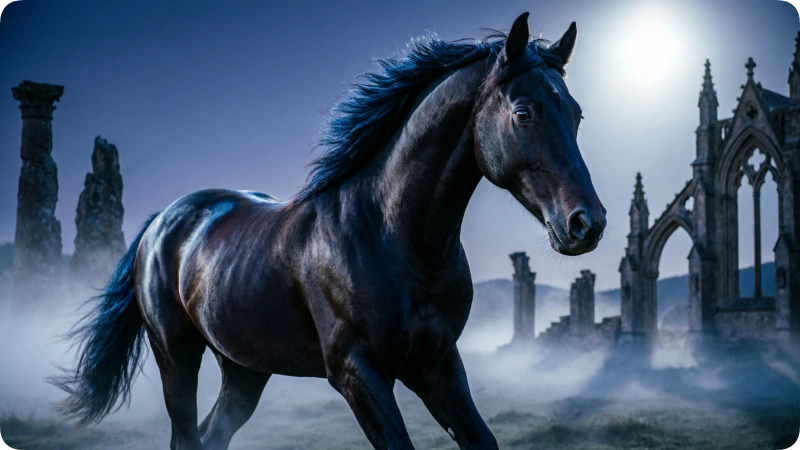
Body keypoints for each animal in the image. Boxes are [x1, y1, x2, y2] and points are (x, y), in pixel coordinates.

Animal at [52, 12, 605, 450]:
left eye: (577, 114)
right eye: (523, 112)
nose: (587, 223)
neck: (391, 238)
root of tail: (165, 221)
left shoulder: (437, 363)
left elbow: (480, 438)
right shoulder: (356, 373)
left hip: (245, 369)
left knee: (213, 434)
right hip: (176, 355)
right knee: (186, 435)